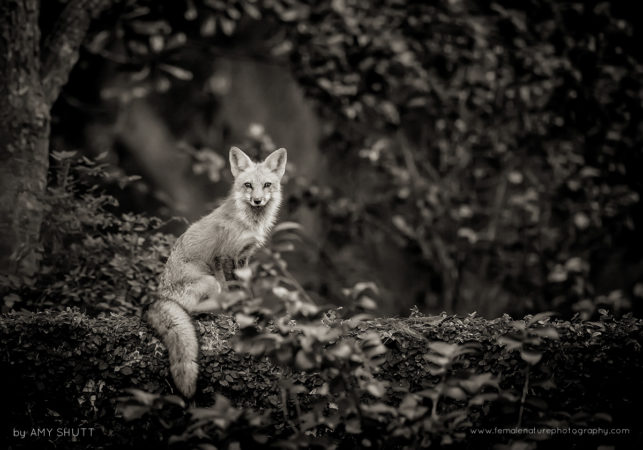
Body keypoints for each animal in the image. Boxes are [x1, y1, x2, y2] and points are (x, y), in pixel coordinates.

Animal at [146, 146, 287, 398]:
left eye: (267, 185)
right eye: (248, 185)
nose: (258, 200)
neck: (246, 223)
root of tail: (160, 296)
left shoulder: (243, 257)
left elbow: (246, 290)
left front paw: (252, 309)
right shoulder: (220, 257)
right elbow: (229, 290)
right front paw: (237, 312)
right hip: (208, 281)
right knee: (194, 309)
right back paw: (217, 311)